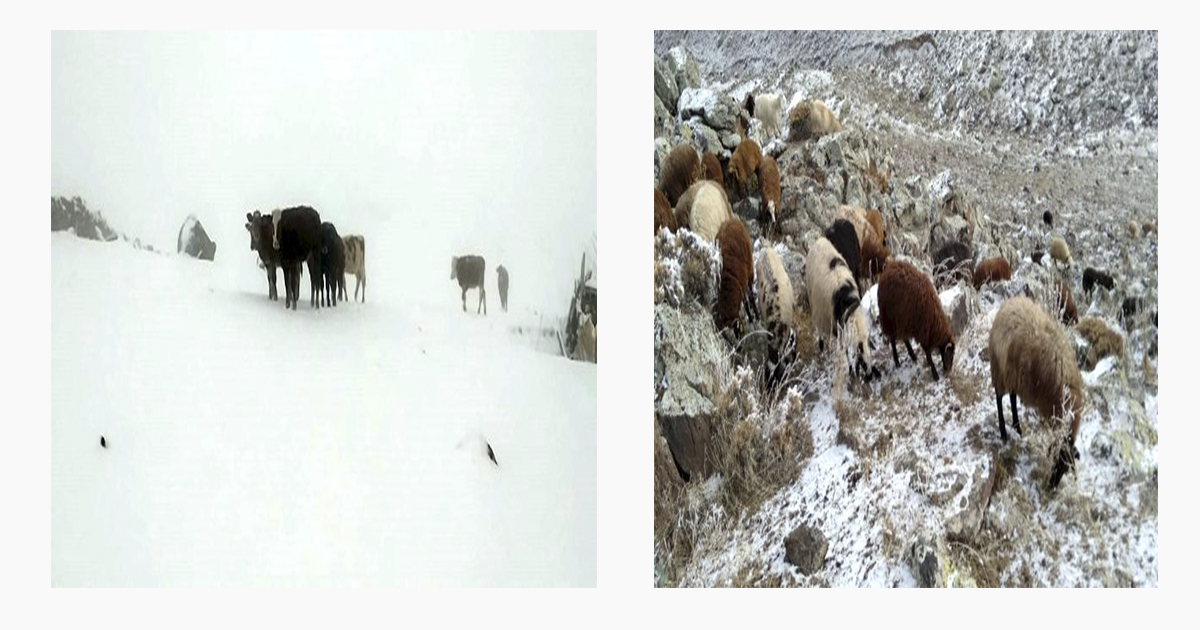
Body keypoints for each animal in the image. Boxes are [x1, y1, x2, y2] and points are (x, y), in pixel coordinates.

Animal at [806, 235, 883, 381]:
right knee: (818, 324)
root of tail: (819, 240)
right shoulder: (838, 327)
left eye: (870, 355)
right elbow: (845, 350)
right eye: (861, 359)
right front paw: (850, 369)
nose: (870, 376)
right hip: (814, 300)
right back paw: (821, 345)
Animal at [988, 296, 1084, 487]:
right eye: (1056, 462)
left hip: (1015, 375)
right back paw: (1003, 432)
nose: (1052, 487)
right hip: (1000, 370)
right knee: (999, 397)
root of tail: (1008, 305)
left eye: (1065, 469)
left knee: (1012, 397)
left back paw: (1017, 427)